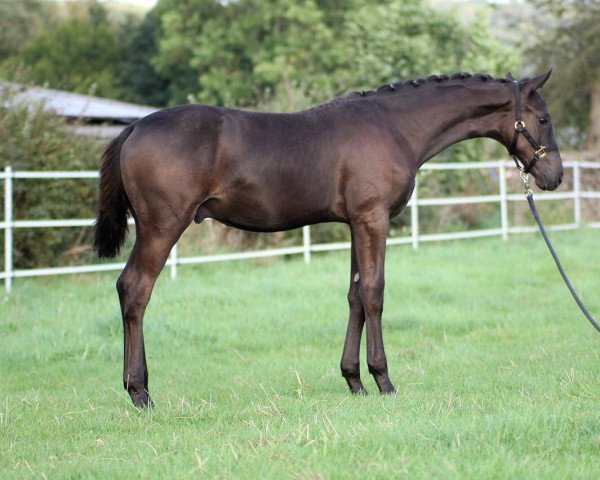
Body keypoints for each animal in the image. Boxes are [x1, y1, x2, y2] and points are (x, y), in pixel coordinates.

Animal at [92, 69, 564, 406]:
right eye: (543, 118)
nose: (554, 176)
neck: (394, 127)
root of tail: (133, 129)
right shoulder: (373, 219)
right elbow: (374, 293)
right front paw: (384, 381)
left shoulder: (356, 223)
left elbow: (355, 295)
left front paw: (354, 381)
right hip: (162, 227)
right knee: (134, 289)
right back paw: (140, 392)